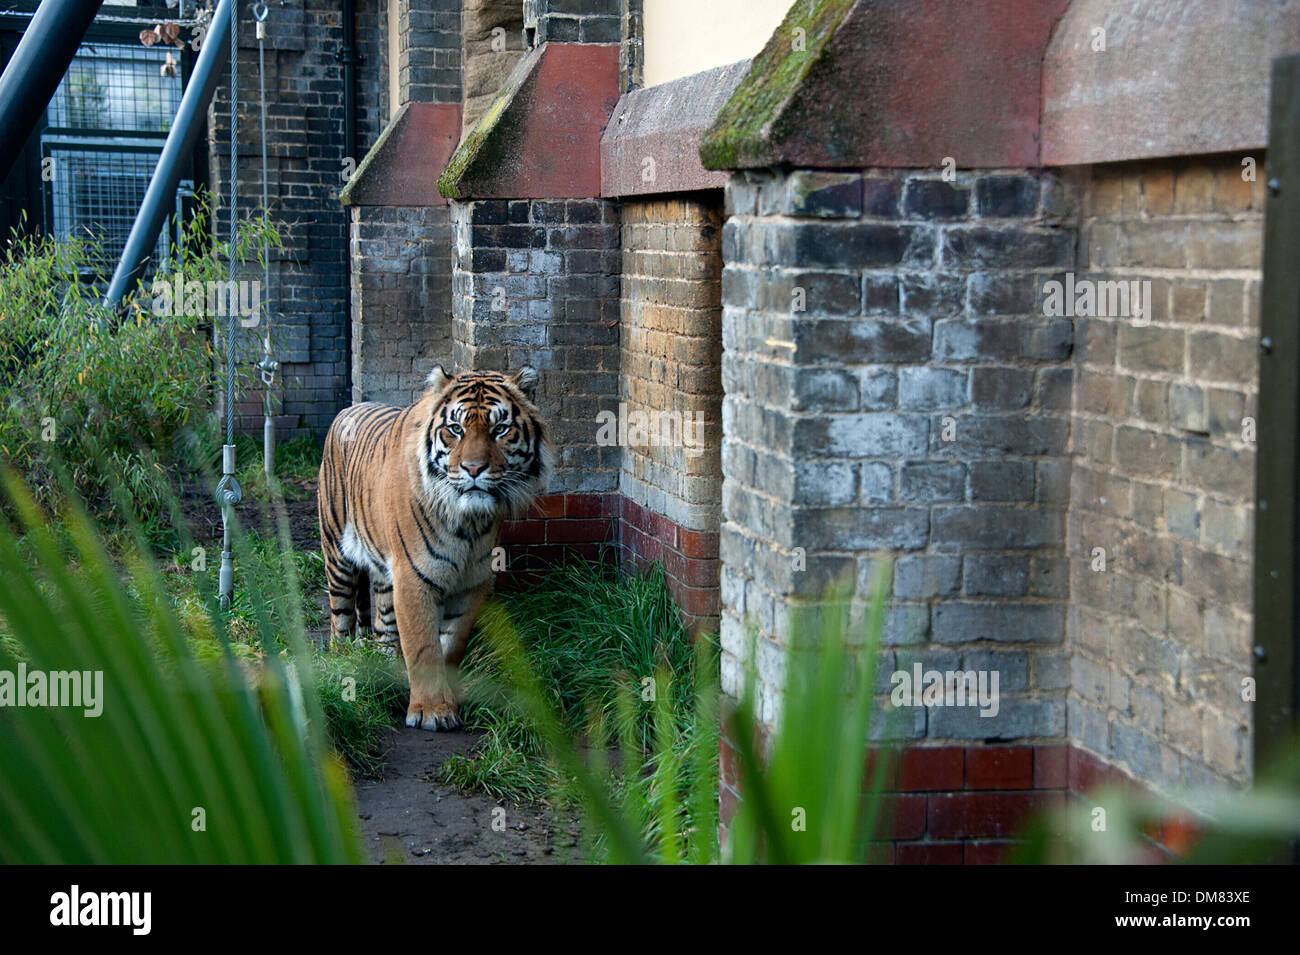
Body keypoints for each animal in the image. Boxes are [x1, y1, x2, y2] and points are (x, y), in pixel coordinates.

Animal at [322, 366, 556, 732]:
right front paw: (432, 710)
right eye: (456, 429)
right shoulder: (413, 579)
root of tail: (347, 409)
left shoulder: (472, 583)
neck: (468, 524)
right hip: (337, 556)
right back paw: (343, 664)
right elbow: (423, 647)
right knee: (340, 620)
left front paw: (449, 699)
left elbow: (452, 643)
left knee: (383, 626)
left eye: (500, 429)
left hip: (383, 577)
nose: (474, 469)